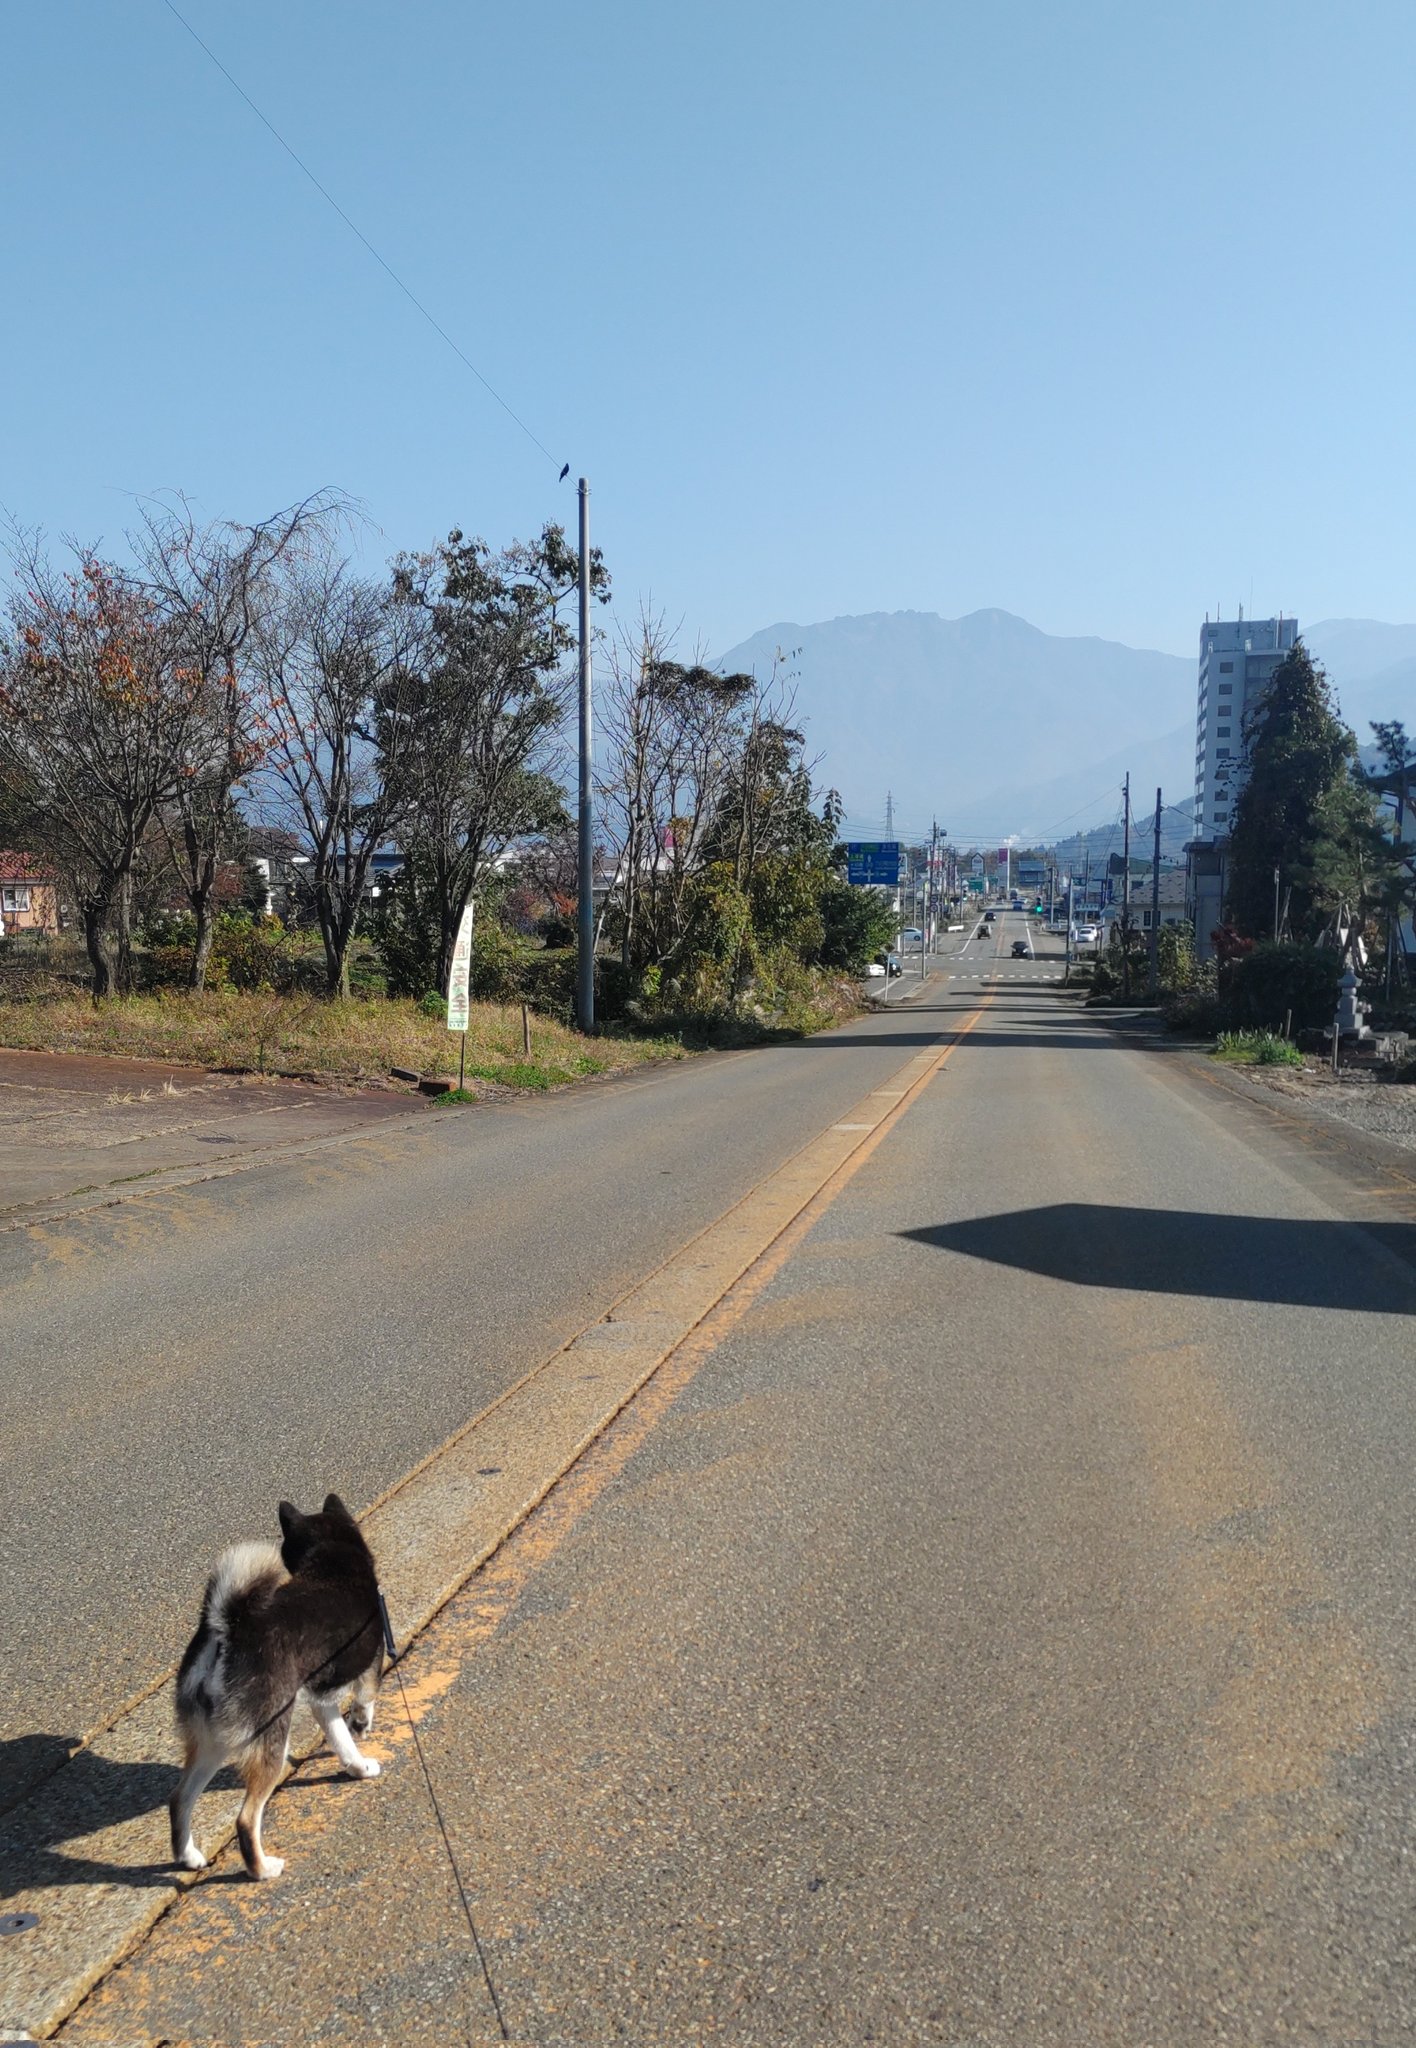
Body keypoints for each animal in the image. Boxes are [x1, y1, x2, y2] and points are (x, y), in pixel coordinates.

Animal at [169, 1499, 385, 1875]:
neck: (333, 1561)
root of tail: (229, 1630)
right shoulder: (369, 1663)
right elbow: (365, 1700)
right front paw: (362, 1724)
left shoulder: (319, 1699)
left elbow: (340, 1740)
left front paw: (357, 1767)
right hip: (270, 1730)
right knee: (246, 1819)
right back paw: (262, 1869)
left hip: (214, 1739)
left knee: (180, 1798)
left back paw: (189, 1856)